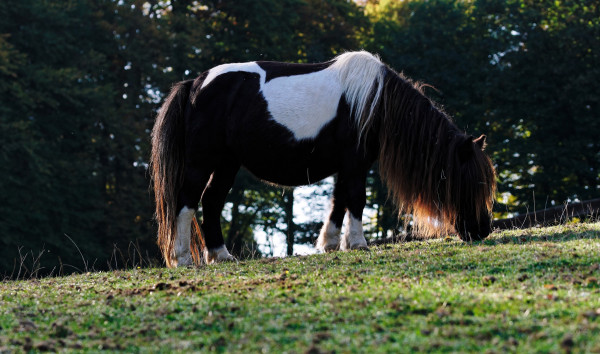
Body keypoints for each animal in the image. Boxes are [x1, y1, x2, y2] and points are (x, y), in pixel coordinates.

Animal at [151, 51, 496, 266]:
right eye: (471, 181)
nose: (482, 230)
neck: (375, 100)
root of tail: (194, 84)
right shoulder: (355, 163)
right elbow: (355, 198)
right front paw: (357, 242)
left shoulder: (347, 165)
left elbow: (338, 201)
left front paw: (330, 243)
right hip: (202, 161)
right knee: (187, 201)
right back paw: (183, 258)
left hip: (227, 162)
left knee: (211, 201)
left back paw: (221, 256)